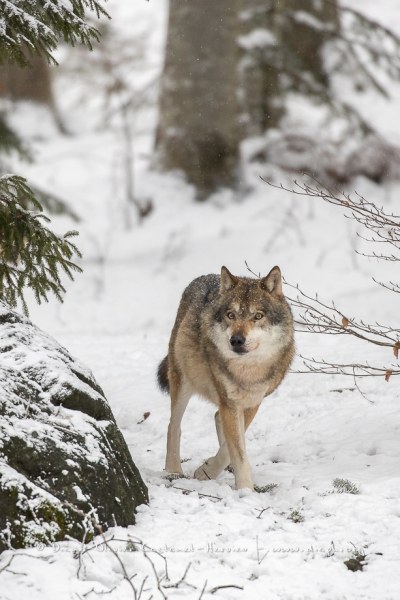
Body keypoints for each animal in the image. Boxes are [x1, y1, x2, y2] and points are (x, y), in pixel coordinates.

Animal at [158, 264, 296, 490]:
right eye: (231, 315)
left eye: (258, 316)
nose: (237, 340)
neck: (247, 371)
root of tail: (204, 276)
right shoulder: (230, 402)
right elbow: (236, 450)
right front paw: (245, 490)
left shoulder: (252, 402)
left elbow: (232, 446)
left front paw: (211, 470)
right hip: (183, 380)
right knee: (173, 426)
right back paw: (173, 471)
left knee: (216, 418)